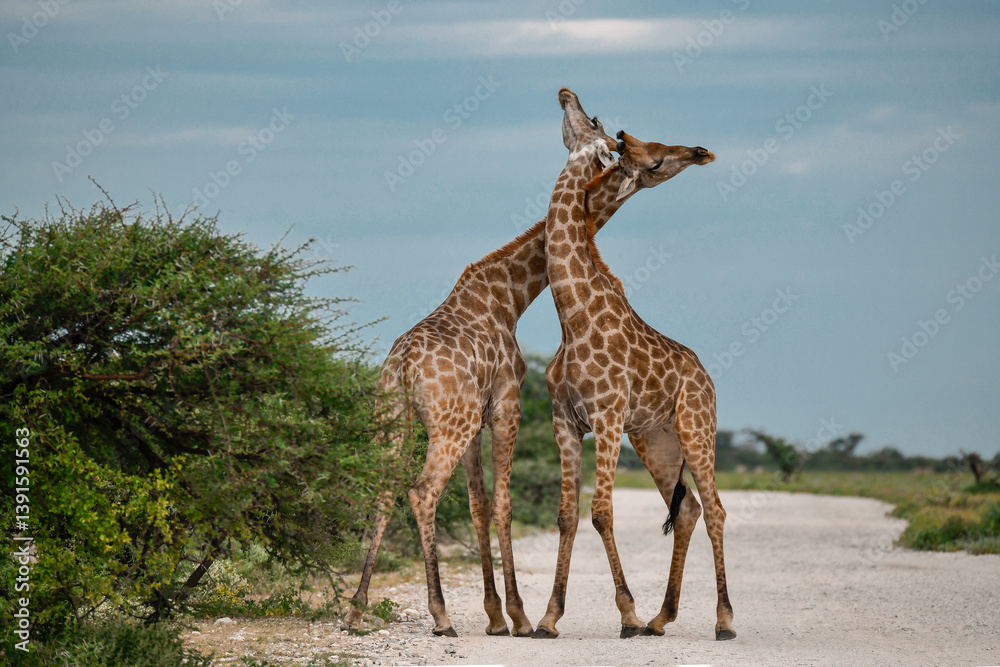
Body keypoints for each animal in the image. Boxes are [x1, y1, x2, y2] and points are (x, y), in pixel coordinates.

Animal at [343, 109, 652, 638]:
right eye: (610, 146)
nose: (639, 159)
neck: (509, 296)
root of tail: (403, 366)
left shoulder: (478, 416)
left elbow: (479, 505)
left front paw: (493, 614)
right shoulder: (506, 404)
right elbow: (504, 505)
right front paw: (519, 616)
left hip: (394, 417)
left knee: (383, 489)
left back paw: (356, 608)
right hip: (447, 424)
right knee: (421, 492)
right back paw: (441, 615)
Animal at [531, 88, 735, 641]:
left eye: (593, 119)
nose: (566, 93)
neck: (571, 314)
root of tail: (707, 378)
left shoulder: (604, 417)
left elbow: (601, 512)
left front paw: (625, 613)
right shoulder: (564, 421)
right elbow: (566, 514)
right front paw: (548, 617)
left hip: (696, 428)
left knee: (716, 509)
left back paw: (724, 620)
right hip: (655, 438)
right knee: (687, 510)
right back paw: (662, 618)